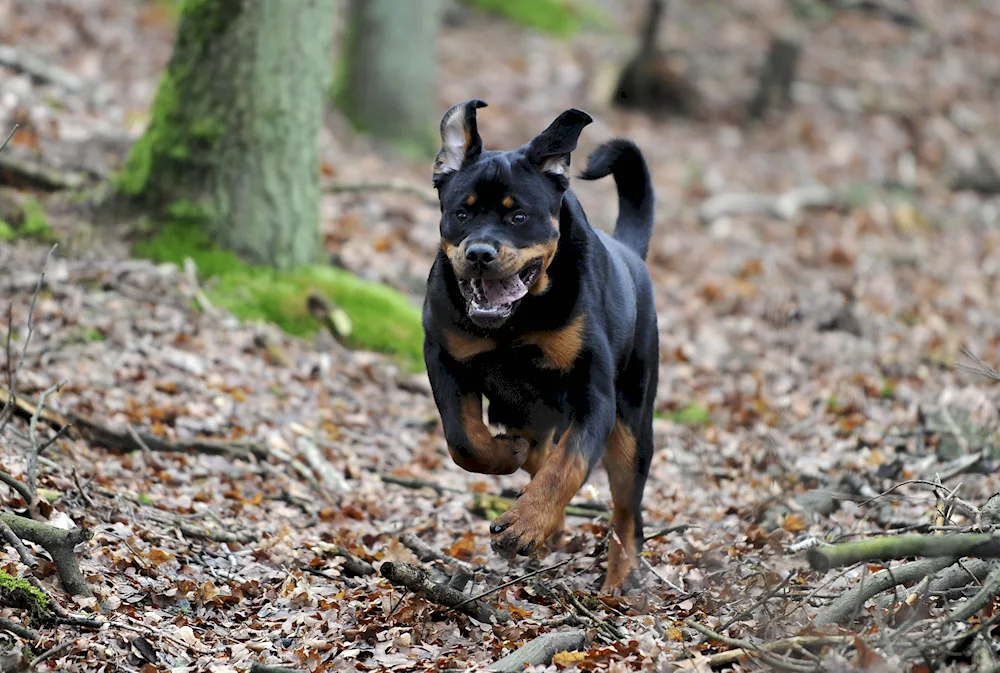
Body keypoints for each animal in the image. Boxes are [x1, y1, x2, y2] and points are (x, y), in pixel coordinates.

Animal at [420, 100, 656, 592]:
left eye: (518, 217)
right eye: (462, 214)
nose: (479, 253)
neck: (516, 321)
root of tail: (630, 255)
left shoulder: (595, 394)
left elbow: (567, 466)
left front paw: (526, 523)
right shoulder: (443, 354)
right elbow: (463, 439)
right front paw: (506, 453)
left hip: (632, 423)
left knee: (627, 510)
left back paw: (620, 578)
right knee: (539, 453)